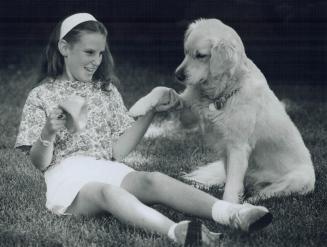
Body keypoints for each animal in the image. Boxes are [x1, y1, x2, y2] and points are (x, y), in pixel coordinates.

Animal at [176, 18, 316, 202]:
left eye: (200, 56)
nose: (178, 75)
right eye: (185, 52)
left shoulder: (238, 147)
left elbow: (232, 187)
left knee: (264, 192)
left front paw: (228, 205)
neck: (223, 93)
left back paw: (252, 200)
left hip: (298, 179)